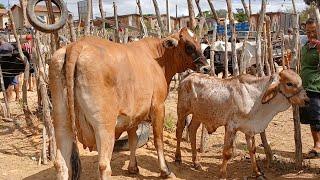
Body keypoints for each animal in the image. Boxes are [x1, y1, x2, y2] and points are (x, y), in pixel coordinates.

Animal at [48, 27, 206, 179]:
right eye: (189, 46)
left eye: (198, 42)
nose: (206, 67)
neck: (158, 59)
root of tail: (77, 45)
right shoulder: (158, 106)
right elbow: (158, 139)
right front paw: (165, 170)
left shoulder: (133, 114)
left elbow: (133, 140)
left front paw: (133, 167)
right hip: (104, 127)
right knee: (103, 166)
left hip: (62, 124)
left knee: (61, 164)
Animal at [176, 69, 308, 179]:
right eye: (289, 84)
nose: (307, 100)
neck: (256, 98)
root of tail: (188, 76)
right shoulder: (231, 127)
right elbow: (227, 153)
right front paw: (222, 175)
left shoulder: (249, 129)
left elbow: (252, 150)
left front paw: (257, 172)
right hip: (182, 111)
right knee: (179, 131)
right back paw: (178, 158)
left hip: (198, 114)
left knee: (192, 130)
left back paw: (196, 162)